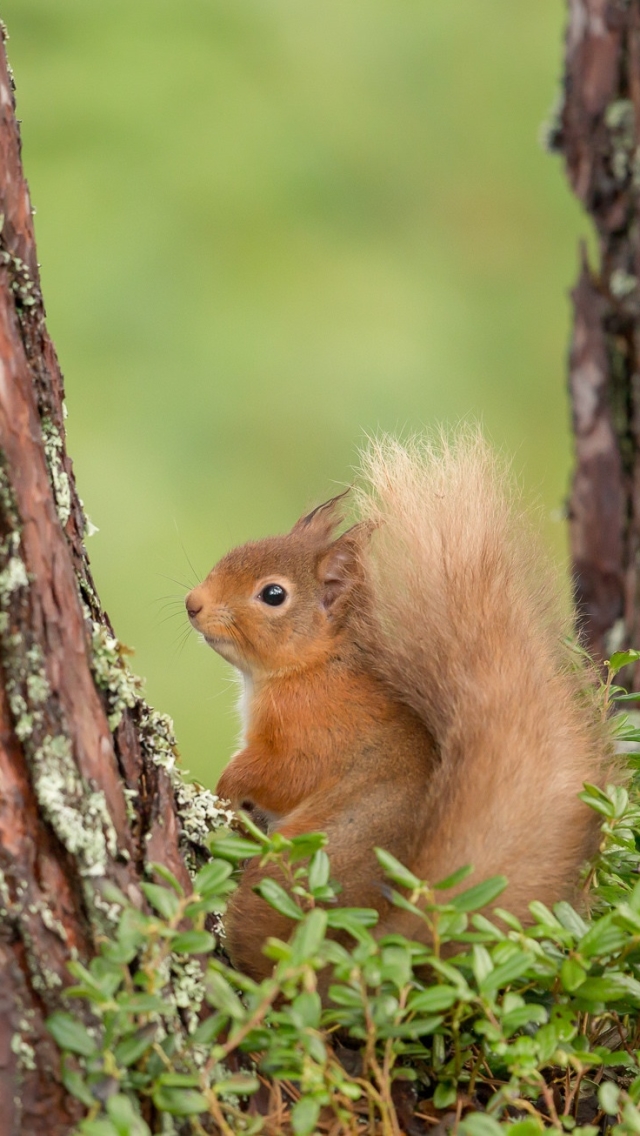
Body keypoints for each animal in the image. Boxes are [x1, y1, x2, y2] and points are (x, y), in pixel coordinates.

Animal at [186, 429, 609, 981]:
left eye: (273, 594)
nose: (193, 604)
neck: (310, 668)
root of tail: (375, 951)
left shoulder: (316, 730)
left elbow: (286, 773)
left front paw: (227, 784)